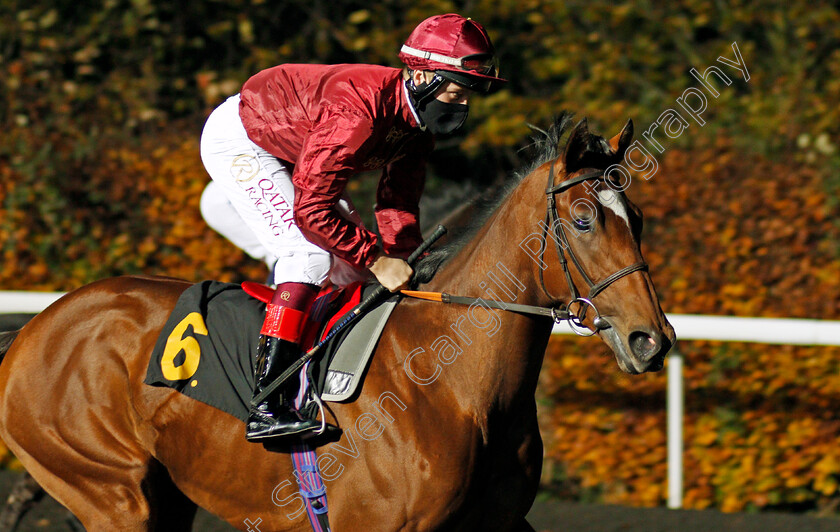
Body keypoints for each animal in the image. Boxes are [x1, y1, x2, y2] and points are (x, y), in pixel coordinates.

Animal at [0, 117, 672, 532]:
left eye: (636, 215)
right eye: (583, 219)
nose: (652, 340)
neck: (455, 387)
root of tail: (33, 329)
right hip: (111, 491)